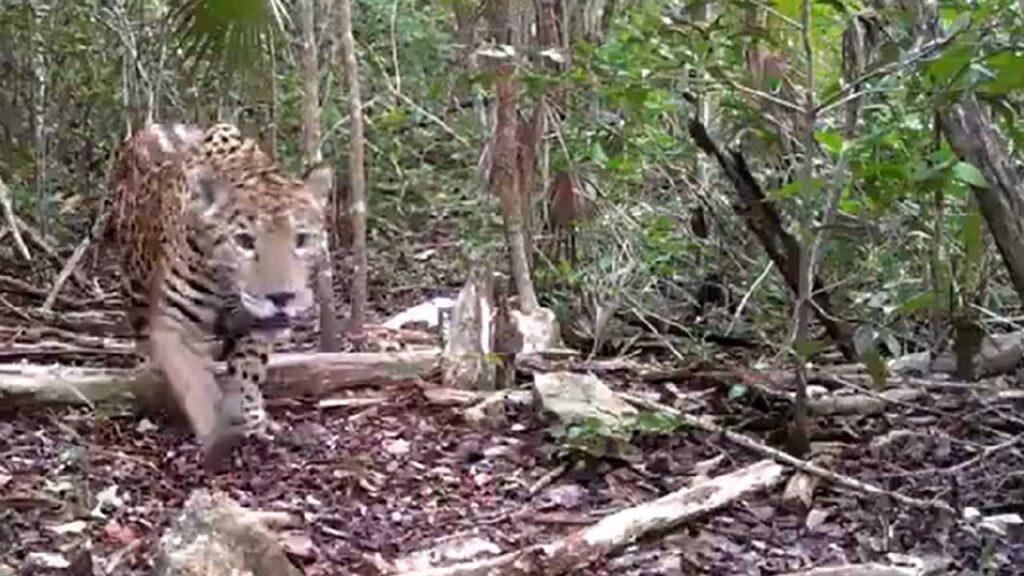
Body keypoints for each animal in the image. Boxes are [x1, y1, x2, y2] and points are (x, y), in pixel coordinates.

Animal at [103, 122, 331, 471]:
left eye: (302, 240)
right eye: (244, 241)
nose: (282, 297)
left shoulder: (257, 325)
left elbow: (248, 371)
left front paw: (251, 417)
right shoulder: (176, 324)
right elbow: (196, 382)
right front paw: (217, 436)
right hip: (134, 277)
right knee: (140, 331)